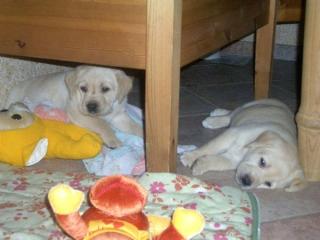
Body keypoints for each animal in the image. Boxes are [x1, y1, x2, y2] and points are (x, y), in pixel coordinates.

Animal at [5, 65, 141, 148]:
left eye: (105, 89)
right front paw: (113, 139)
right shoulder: (78, 113)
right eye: (83, 88)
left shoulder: (119, 116)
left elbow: (134, 126)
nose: (91, 106)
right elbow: (102, 124)